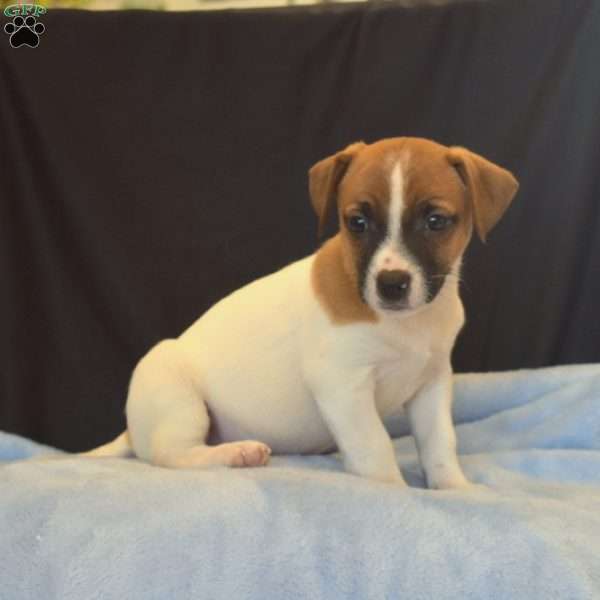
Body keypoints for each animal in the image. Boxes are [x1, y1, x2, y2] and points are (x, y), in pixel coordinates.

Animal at [86, 138, 516, 490]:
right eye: (357, 222)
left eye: (435, 221)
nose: (391, 283)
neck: (404, 324)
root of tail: (132, 431)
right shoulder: (342, 385)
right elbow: (375, 446)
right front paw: (394, 491)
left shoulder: (432, 384)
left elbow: (440, 443)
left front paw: (456, 489)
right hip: (176, 394)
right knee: (172, 456)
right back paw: (236, 454)